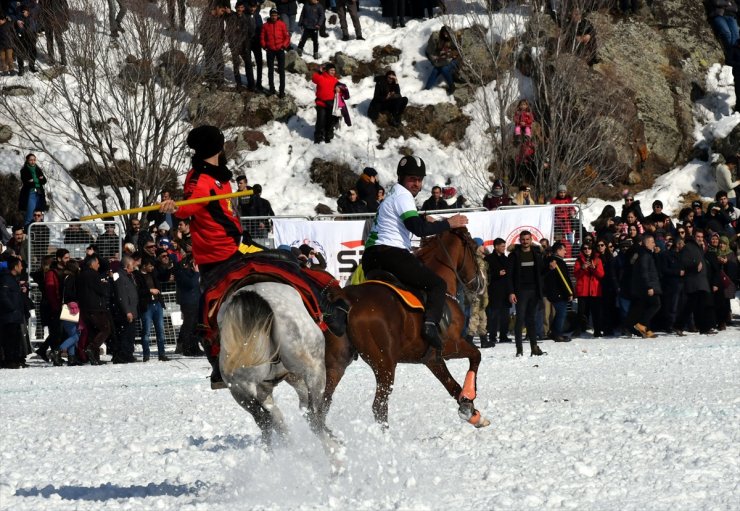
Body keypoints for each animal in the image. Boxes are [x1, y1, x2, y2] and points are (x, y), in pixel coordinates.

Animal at [324, 228, 492, 428]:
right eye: (474, 249)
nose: (481, 284)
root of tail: (347, 298)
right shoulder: (453, 346)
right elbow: (476, 356)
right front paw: (469, 397)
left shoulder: (432, 359)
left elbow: (453, 387)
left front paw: (471, 412)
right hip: (385, 364)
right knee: (378, 406)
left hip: (337, 362)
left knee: (320, 405)